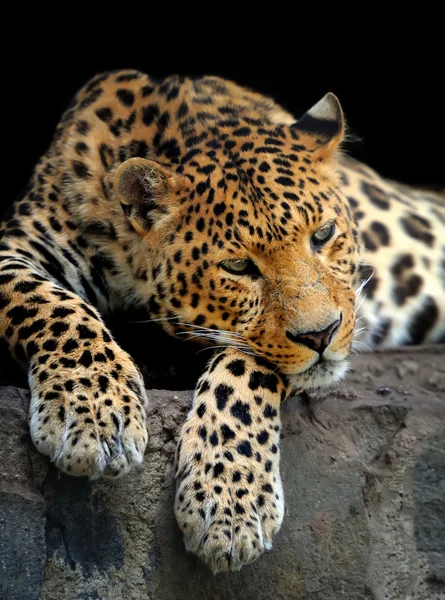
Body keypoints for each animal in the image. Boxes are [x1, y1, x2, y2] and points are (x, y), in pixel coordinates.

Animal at [0, 69, 442, 572]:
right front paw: (93, 410)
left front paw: (228, 500)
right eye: (237, 266)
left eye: (324, 234)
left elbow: (245, 370)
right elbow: (48, 304)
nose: (323, 334)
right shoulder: (16, 249)